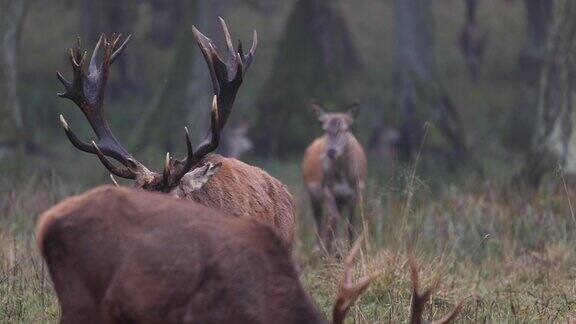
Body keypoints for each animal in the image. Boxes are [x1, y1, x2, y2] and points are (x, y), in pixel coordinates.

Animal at [300, 103, 366, 253]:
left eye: (345, 129)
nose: (331, 151)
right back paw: (319, 248)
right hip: (312, 193)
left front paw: (349, 249)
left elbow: (350, 222)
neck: (342, 177)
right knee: (319, 218)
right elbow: (334, 218)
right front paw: (333, 249)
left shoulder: (355, 191)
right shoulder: (326, 189)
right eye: (325, 129)